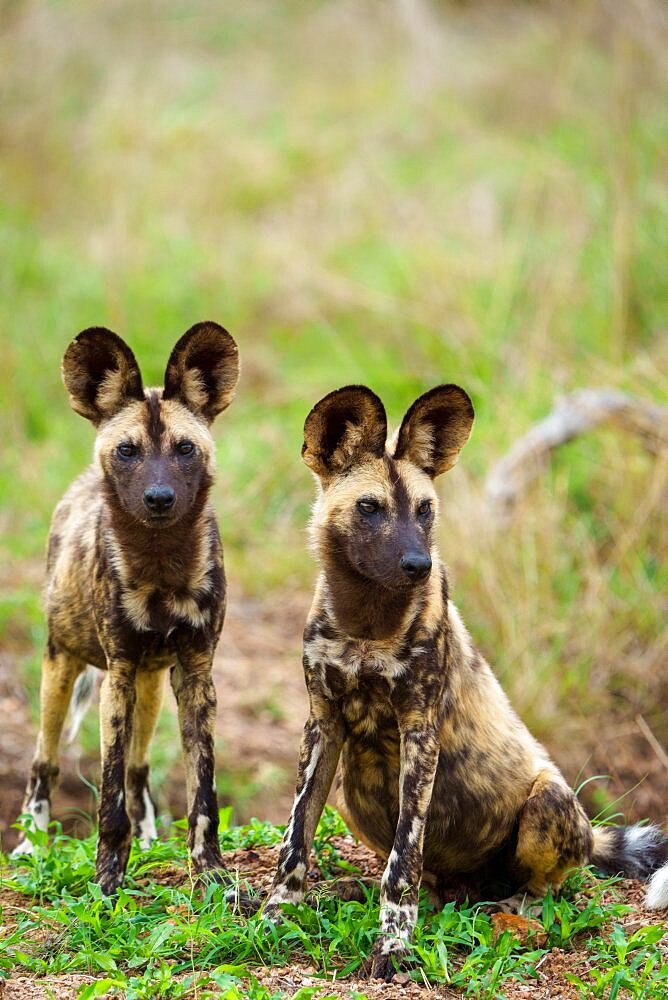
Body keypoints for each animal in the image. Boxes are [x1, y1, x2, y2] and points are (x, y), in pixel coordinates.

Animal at [12, 324, 240, 896]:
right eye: (127, 450)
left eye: (185, 448)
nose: (158, 498)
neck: (160, 565)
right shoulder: (116, 674)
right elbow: (107, 800)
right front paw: (107, 879)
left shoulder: (195, 674)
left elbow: (202, 795)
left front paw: (209, 872)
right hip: (61, 671)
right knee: (44, 761)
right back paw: (30, 845)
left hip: (152, 684)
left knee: (138, 772)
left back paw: (150, 840)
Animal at [260, 386, 668, 980]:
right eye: (369, 508)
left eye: (425, 510)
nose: (418, 563)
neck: (366, 625)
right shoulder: (322, 726)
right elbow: (296, 840)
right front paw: (275, 913)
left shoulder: (419, 733)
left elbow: (403, 861)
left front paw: (394, 945)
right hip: (352, 793)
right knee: (428, 881)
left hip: (548, 801)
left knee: (546, 886)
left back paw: (512, 907)